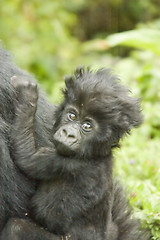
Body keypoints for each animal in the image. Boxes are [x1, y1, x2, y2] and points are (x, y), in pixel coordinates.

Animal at [5, 68, 149, 240]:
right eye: (72, 115)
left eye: (87, 125)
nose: (68, 134)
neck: (97, 153)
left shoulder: (67, 163)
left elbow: (26, 157)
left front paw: (27, 93)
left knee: (15, 228)